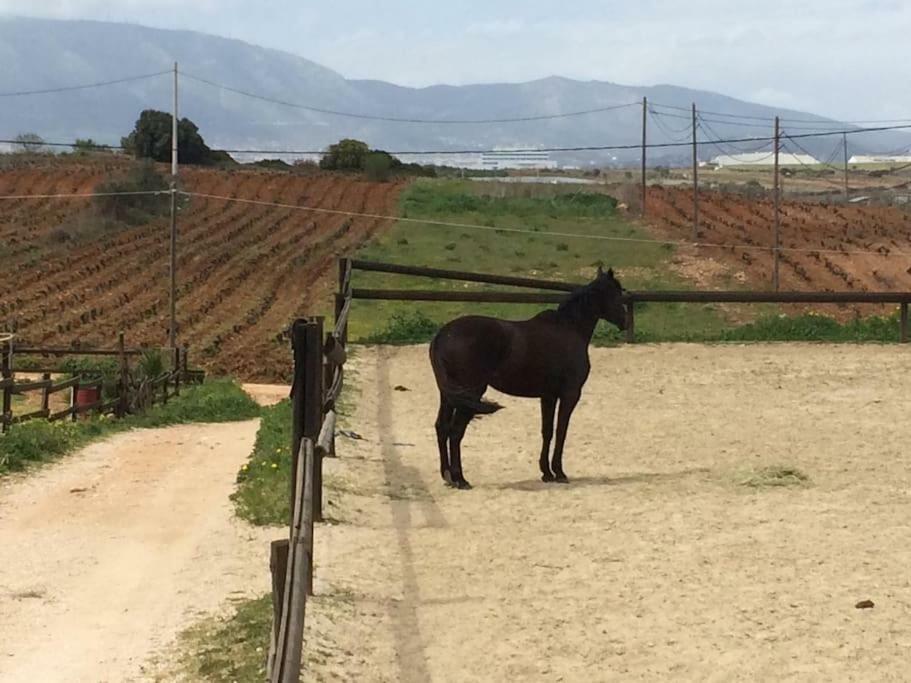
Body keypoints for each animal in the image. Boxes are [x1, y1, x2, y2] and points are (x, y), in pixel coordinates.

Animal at [430, 266, 628, 486]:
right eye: (617, 294)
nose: (625, 322)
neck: (569, 329)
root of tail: (442, 335)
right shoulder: (570, 394)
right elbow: (561, 431)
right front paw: (559, 473)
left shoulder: (548, 396)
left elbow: (547, 431)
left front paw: (547, 473)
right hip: (471, 394)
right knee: (455, 432)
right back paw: (460, 480)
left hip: (449, 395)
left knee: (442, 427)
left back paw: (447, 475)